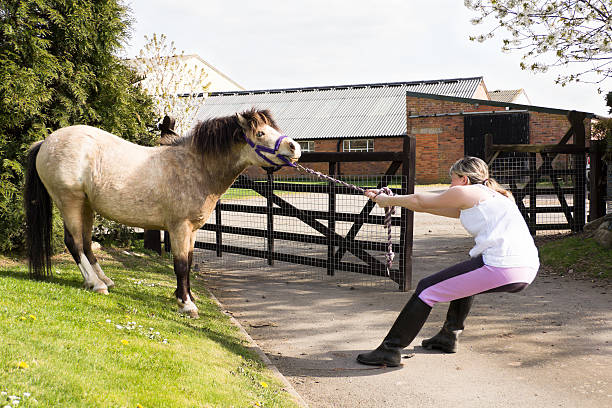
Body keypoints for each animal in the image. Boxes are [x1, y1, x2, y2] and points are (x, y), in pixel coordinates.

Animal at [24, 109, 302, 318]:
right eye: (260, 132)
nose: (295, 148)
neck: (195, 167)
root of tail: (46, 142)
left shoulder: (191, 231)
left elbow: (188, 261)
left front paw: (184, 296)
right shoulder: (179, 227)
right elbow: (180, 265)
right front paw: (187, 305)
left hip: (86, 207)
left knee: (86, 243)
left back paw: (102, 280)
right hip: (69, 201)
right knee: (74, 243)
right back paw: (97, 284)